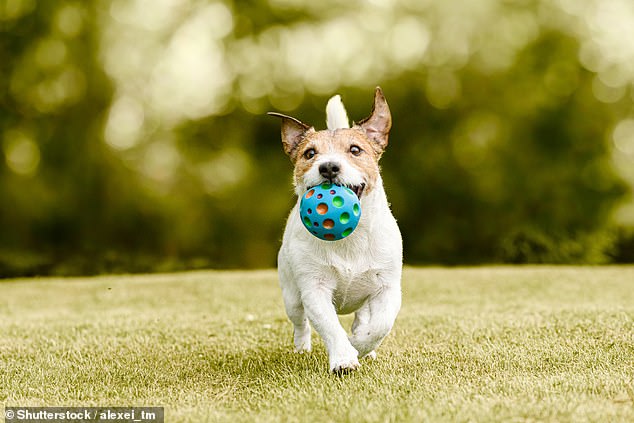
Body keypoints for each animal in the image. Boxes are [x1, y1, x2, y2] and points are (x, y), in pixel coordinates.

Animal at [266, 87, 400, 374]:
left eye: (355, 150)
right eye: (309, 153)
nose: (328, 166)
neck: (350, 239)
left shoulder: (387, 287)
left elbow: (380, 325)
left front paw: (360, 345)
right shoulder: (314, 289)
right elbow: (329, 326)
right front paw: (344, 358)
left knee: (363, 317)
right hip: (291, 295)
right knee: (300, 323)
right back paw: (301, 348)